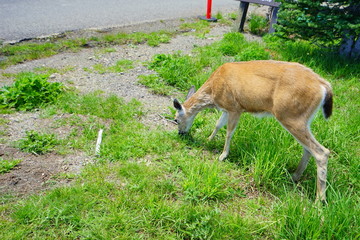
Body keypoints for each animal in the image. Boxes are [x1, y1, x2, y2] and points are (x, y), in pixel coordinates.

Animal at [173, 59, 334, 201]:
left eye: (176, 120)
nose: (181, 134)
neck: (213, 90)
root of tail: (324, 85)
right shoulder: (227, 109)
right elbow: (218, 124)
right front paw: (208, 140)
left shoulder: (235, 107)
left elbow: (229, 132)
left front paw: (223, 155)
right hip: (303, 119)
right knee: (308, 148)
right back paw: (294, 176)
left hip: (290, 115)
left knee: (321, 152)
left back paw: (319, 201)